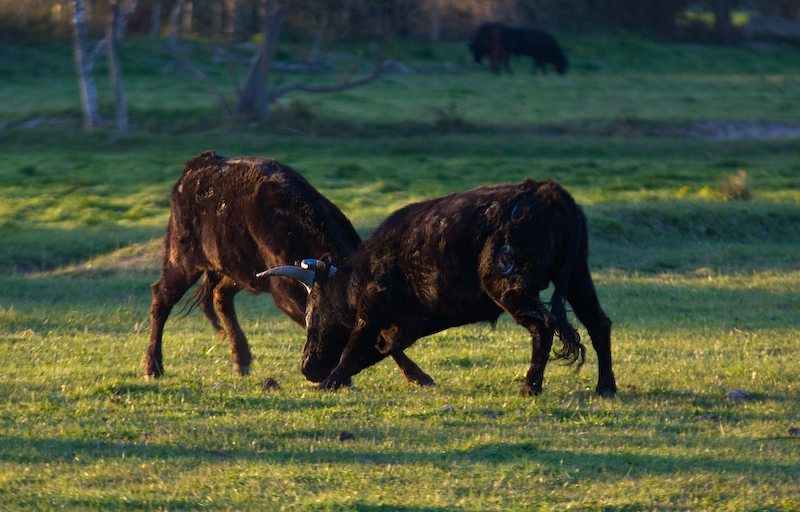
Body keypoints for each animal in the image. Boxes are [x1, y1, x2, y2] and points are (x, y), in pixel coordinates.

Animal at [144, 150, 432, 386]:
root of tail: (202, 163)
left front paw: (418, 376)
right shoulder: (286, 295)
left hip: (238, 270)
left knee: (220, 296)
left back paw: (241, 359)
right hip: (181, 260)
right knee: (161, 298)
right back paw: (152, 366)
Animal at [266, 179, 616, 396]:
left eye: (310, 314)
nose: (307, 366)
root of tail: (545, 191)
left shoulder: (372, 310)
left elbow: (353, 349)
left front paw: (326, 384)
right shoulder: (400, 328)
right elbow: (375, 352)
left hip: (509, 285)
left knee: (544, 324)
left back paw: (530, 387)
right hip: (578, 278)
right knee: (598, 323)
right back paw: (606, 387)